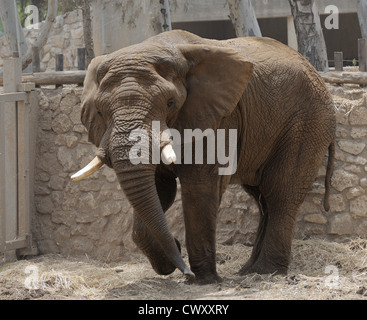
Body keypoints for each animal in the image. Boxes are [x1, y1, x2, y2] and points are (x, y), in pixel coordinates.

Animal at [71, 30, 336, 284]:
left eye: (170, 102)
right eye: (101, 111)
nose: (185, 271)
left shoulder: (219, 117)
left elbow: (200, 186)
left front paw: (203, 280)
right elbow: (159, 188)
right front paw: (172, 259)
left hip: (307, 124)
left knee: (280, 193)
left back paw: (265, 272)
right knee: (262, 198)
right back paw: (247, 271)